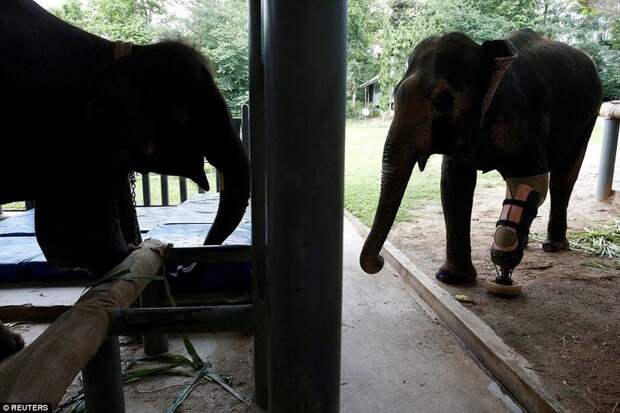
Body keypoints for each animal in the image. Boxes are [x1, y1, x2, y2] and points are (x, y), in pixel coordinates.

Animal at [358, 28, 600, 290]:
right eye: (395, 96)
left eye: (442, 101)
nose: (379, 262)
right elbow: (454, 185)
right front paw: (452, 280)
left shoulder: (520, 116)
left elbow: (531, 178)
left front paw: (501, 270)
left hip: (590, 115)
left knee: (562, 179)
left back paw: (553, 246)